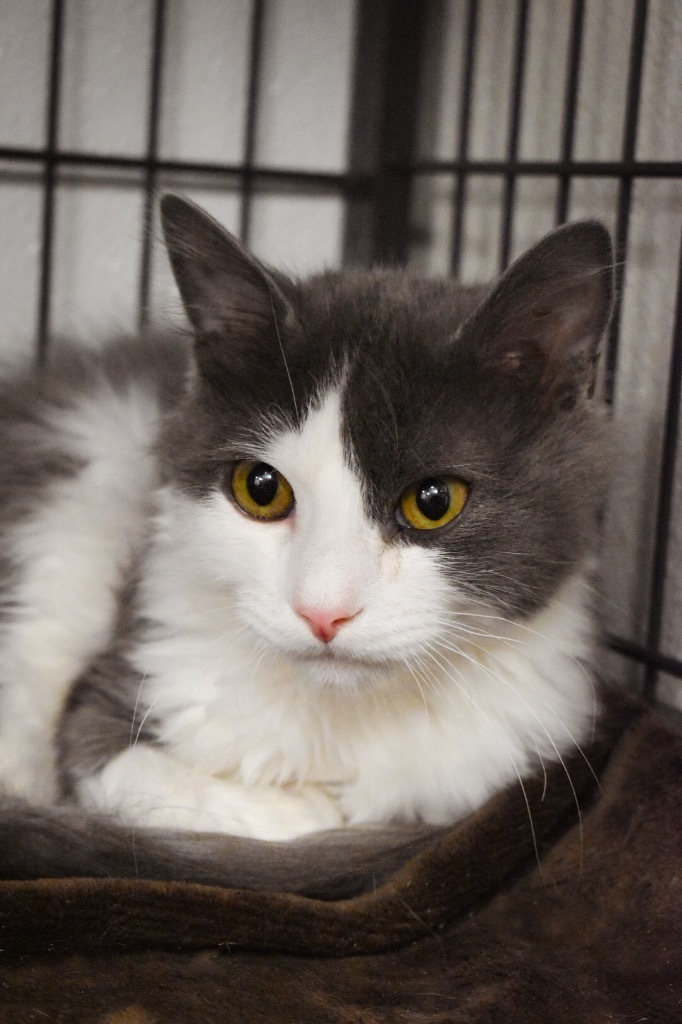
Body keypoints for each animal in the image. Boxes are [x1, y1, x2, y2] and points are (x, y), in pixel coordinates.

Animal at [0, 197, 610, 897]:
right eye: (261, 488)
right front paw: (305, 811)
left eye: (434, 502)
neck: (344, 716)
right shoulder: (130, 674)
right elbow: (126, 767)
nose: (323, 612)